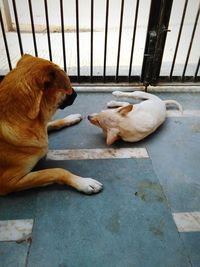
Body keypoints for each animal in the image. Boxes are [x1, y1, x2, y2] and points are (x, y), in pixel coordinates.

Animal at [0, 54, 102, 197]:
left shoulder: (42, 127)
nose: (76, 93)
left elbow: (52, 123)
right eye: (66, 86)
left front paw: (70, 118)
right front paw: (83, 182)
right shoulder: (8, 182)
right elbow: (56, 171)